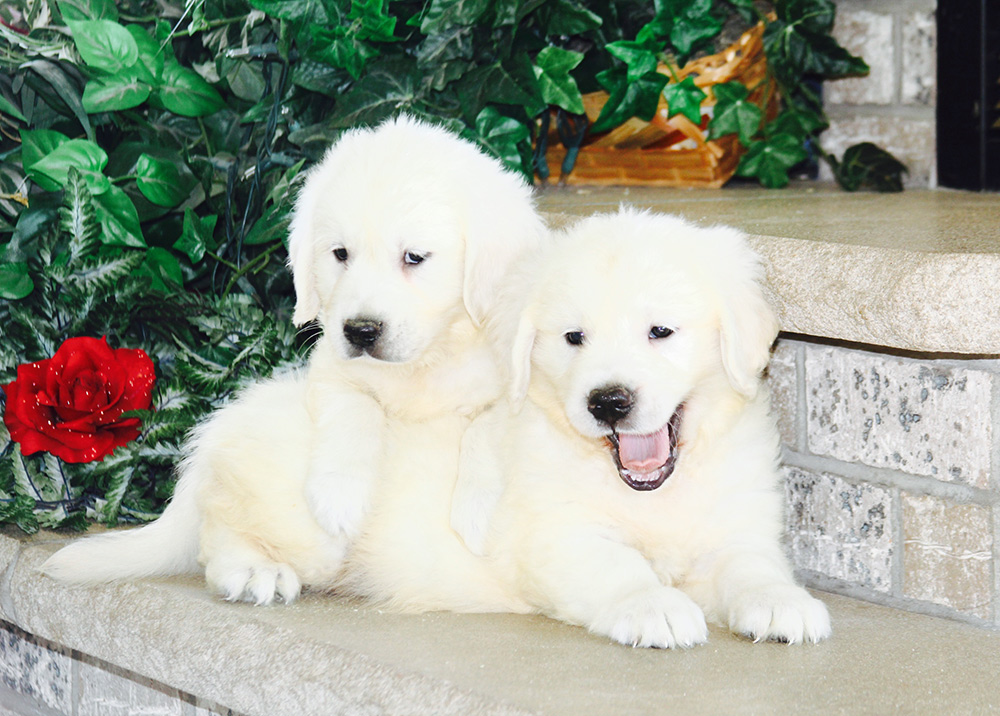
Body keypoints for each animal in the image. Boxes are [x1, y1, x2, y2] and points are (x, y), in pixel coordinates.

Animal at [43, 114, 548, 608]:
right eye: (340, 254)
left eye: (414, 257)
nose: (361, 331)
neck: (425, 362)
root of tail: (212, 439)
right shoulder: (331, 367)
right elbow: (352, 408)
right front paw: (339, 496)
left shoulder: (518, 381)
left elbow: (488, 424)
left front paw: (478, 512)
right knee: (217, 531)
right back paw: (253, 571)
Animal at [452, 208, 828, 648]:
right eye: (574, 337)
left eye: (660, 331)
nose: (608, 403)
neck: (654, 494)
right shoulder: (553, 531)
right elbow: (614, 563)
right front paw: (652, 605)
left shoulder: (734, 516)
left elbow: (748, 560)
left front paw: (777, 598)